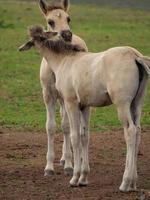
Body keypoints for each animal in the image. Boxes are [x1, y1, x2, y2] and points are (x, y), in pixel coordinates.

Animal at [19, 26, 150, 192]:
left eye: (36, 39)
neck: (65, 60)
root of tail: (135, 56)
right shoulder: (85, 107)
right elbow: (84, 136)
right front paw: (83, 178)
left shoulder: (71, 104)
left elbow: (74, 137)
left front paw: (75, 178)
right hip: (136, 105)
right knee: (138, 131)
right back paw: (133, 183)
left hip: (122, 105)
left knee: (130, 131)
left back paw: (126, 182)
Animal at [38, 0, 88, 175]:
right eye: (50, 21)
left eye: (68, 18)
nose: (67, 35)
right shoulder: (48, 95)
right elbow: (50, 127)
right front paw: (49, 167)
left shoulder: (67, 97)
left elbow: (66, 127)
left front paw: (69, 165)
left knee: (75, 127)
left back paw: (72, 160)